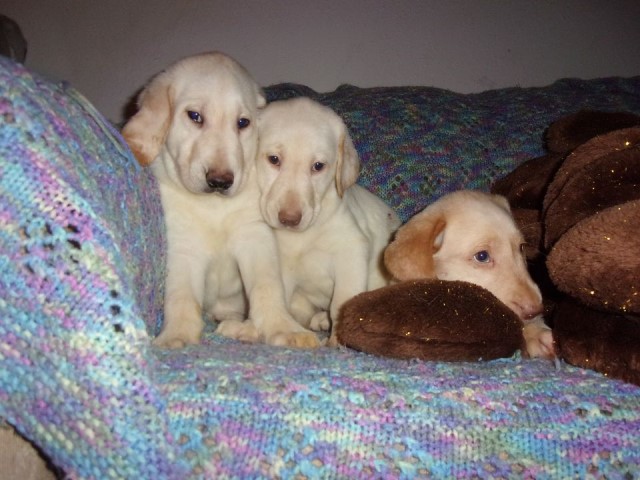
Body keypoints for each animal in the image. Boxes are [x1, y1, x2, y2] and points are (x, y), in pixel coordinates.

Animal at [121, 52, 318, 348]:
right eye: (195, 116)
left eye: (243, 123)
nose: (220, 181)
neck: (214, 207)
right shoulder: (182, 244)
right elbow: (181, 296)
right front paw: (176, 335)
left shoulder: (255, 237)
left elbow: (267, 286)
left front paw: (284, 327)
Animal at [255, 97, 400, 344]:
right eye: (274, 159)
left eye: (318, 166)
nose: (289, 219)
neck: (302, 237)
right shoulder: (282, 266)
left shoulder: (350, 251)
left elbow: (343, 300)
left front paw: (337, 339)